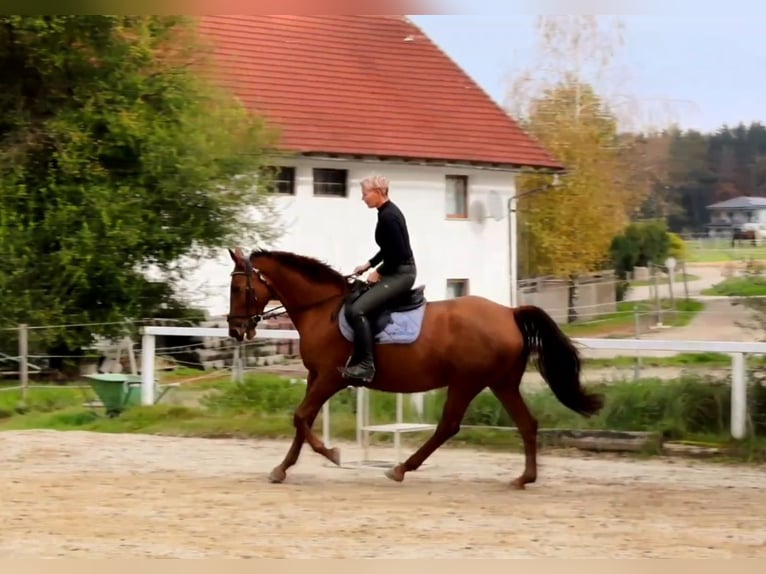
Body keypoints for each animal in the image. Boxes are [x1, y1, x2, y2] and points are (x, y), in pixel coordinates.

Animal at [228, 248, 608, 490]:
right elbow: (301, 421)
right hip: (502, 383)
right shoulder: (314, 377)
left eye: (238, 287)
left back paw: (400, 469)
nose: (234, 330)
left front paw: (331, 454)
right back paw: (524, 478)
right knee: (527, 424)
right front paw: (281, 470)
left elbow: (300, 417)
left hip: (467, 382)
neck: (322, 309)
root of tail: (509, 312)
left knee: (448, 426)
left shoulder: (331, 377)